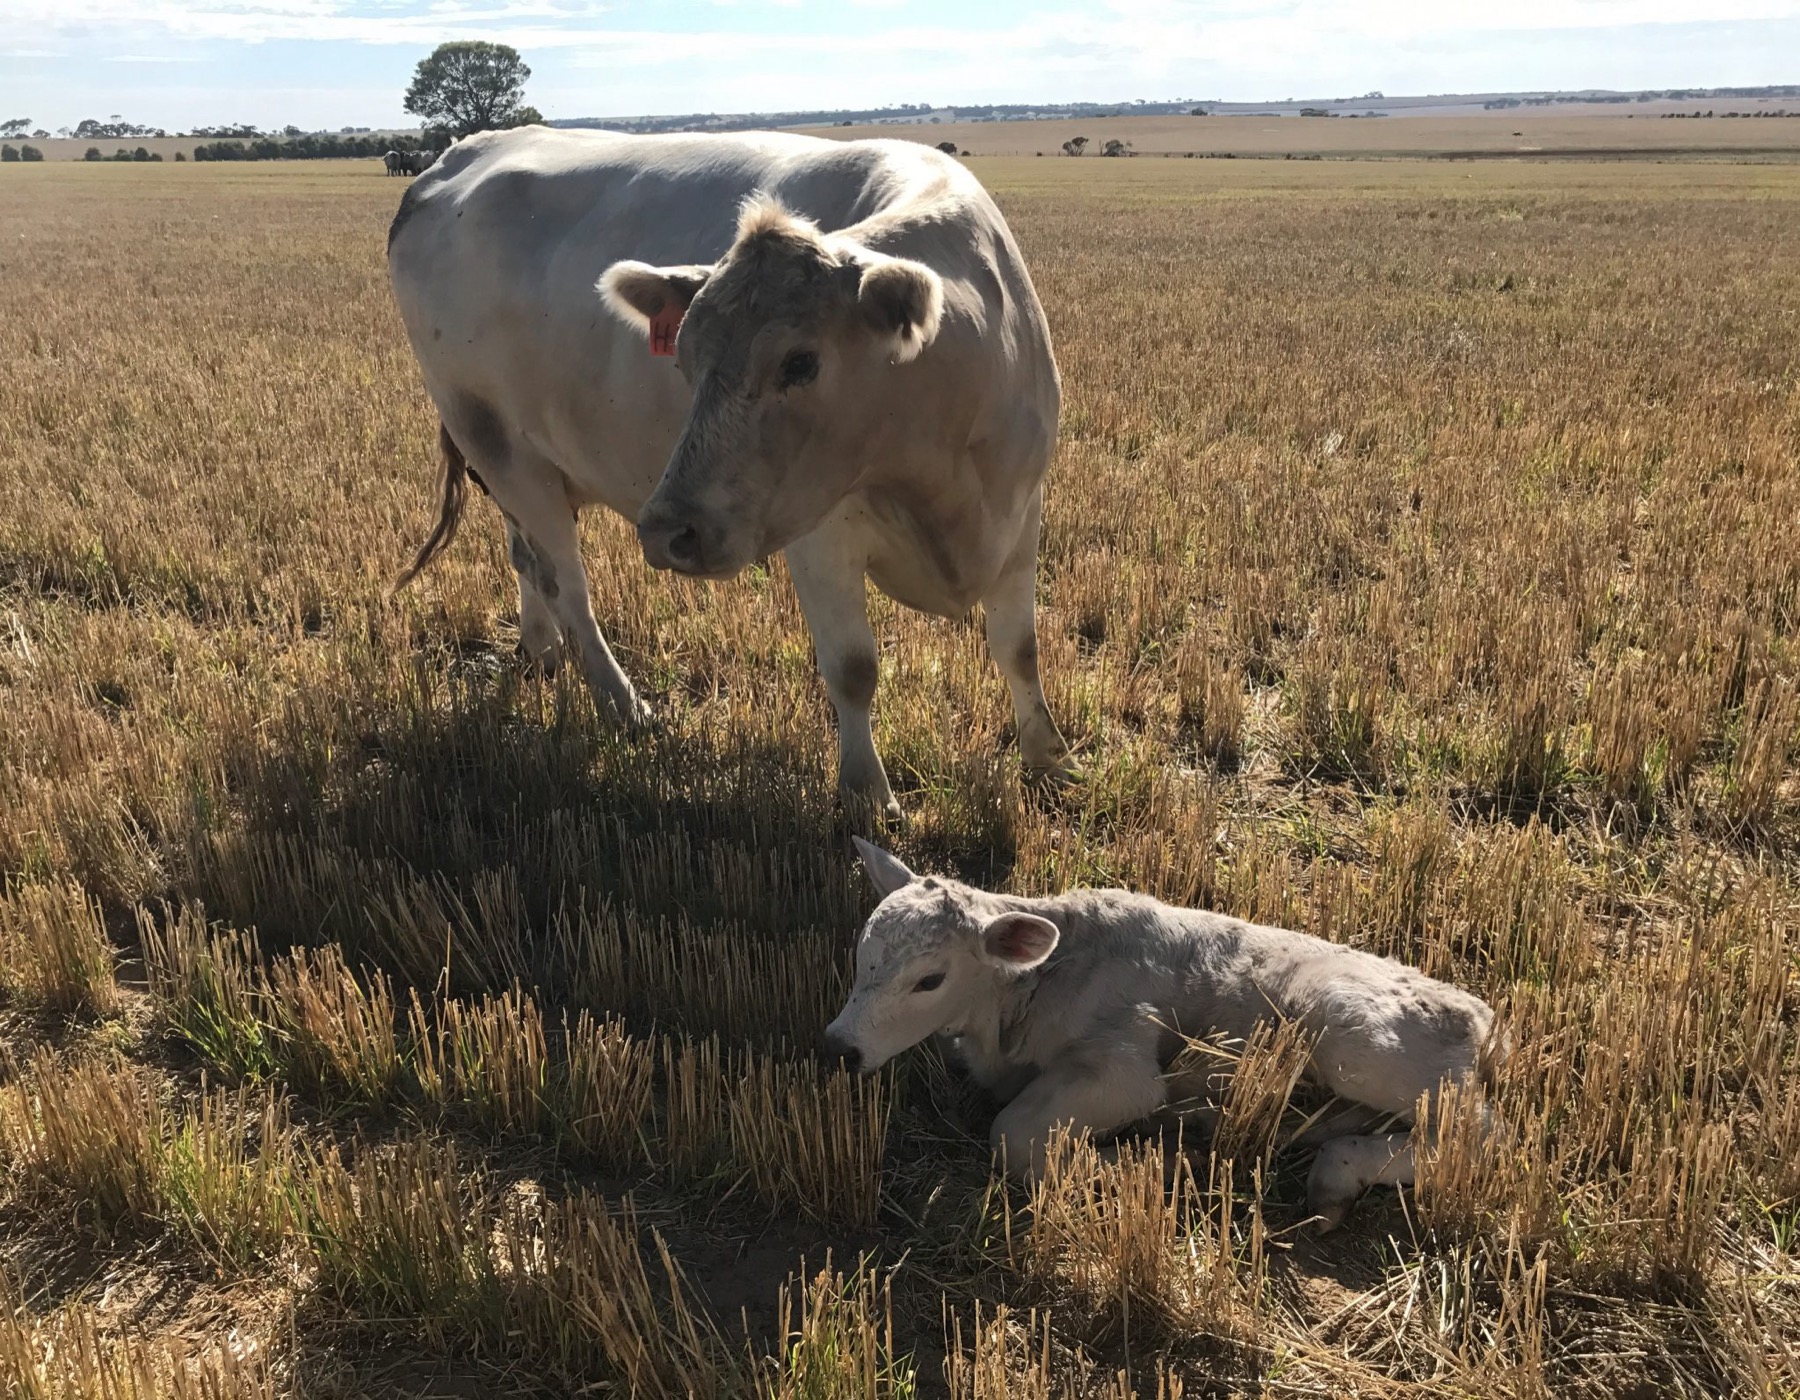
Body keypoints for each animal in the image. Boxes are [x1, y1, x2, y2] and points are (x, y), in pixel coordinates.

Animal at [386, 127, 1071, 818]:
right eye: (683, 362)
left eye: (800, 362)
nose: (668, 530)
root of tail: (451, 158)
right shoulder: (820, 533)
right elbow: (854, 669)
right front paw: (868, 795)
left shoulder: (1022, 508)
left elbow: (1019, 646)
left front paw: (1051, 762)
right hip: (496, 443)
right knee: (565, 583)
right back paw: (626, 706)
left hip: (520, 465)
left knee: (525, 558)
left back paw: (541, 652)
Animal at [823, 839, 1500, 1228]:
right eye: (861, 956)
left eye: (930, 979)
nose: (838, 1049)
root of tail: (1480, 1016)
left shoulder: (1124, 1070)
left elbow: (1011, 1135)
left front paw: (1151, 1166)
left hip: (1351, 1037)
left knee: (1474, 1137)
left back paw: (1334, 1175)